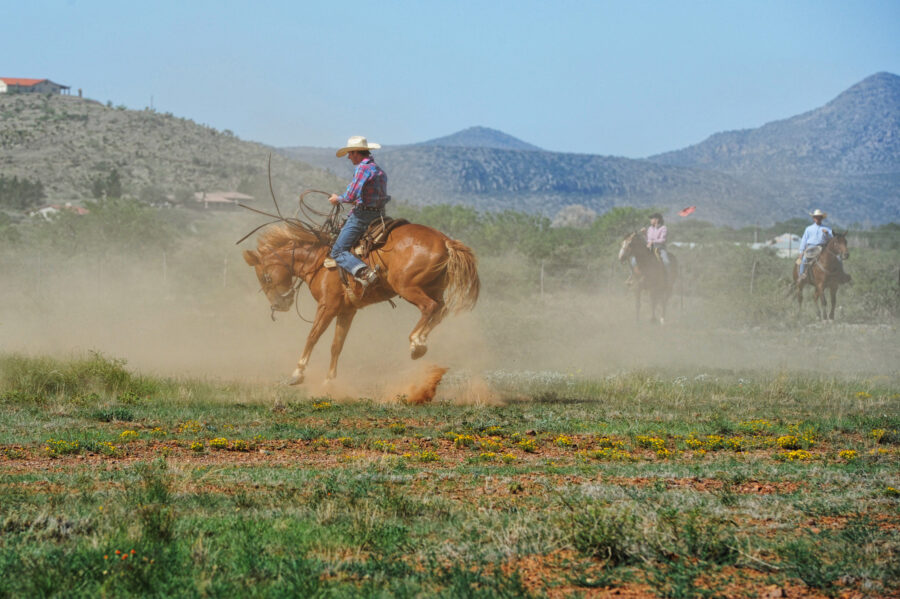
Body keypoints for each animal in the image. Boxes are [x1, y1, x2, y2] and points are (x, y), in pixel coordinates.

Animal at [239, 220, 478, 384]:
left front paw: (298, 373)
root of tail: (446, 242)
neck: (317, 261)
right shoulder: (346, 311)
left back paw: (416, 343)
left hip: (407, 287)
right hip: (432, 288)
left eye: (265, 277)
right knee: (441, 310)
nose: (280, 305)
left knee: (430, 307)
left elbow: (313, 336)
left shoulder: (327, 307)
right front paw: (329, 381)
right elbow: (336, 345)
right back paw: (421, 343)